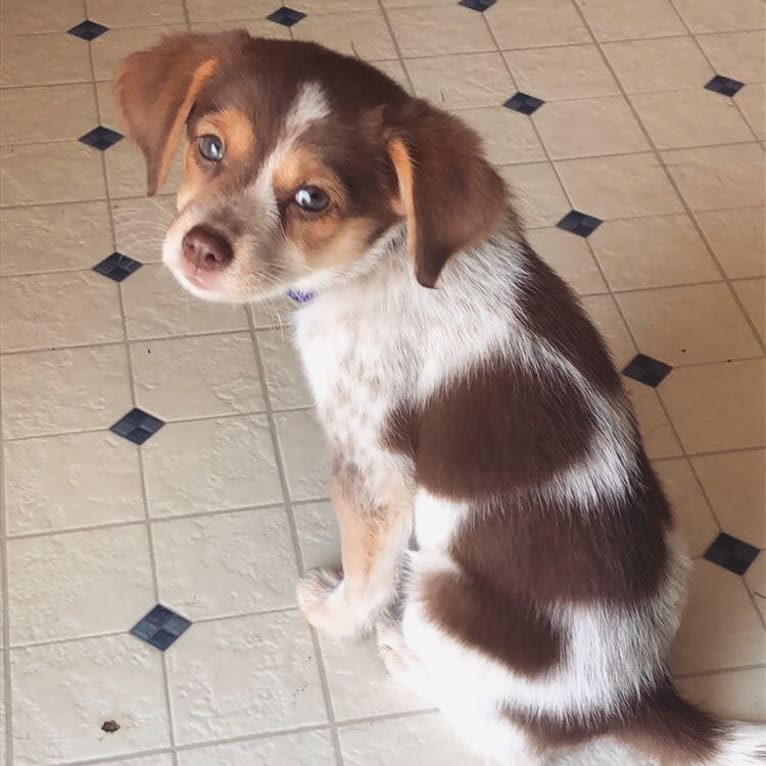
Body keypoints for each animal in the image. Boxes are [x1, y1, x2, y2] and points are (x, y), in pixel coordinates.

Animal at [115, 34, 766, 766]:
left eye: (312, 198)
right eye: (209, 146)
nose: (201, 249)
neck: (385, 261)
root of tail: (634, 698)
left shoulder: (374, 468)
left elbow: (366, 576)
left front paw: (334, 614)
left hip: (436, 591)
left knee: (501, 733)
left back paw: (403, 655)